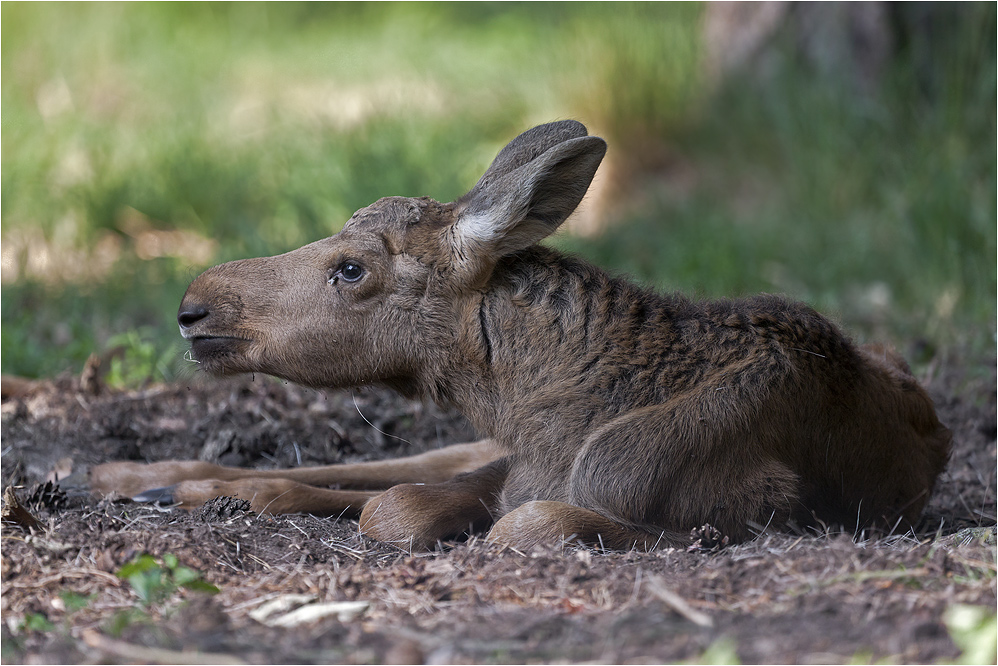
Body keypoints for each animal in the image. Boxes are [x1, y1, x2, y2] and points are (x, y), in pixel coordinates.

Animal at [88, 119, 952, 548]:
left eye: (351, 269)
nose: (195, 305)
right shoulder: (514, 464)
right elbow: (402, 500)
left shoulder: (742, 507)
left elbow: (490, 519)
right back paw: (138, 473)